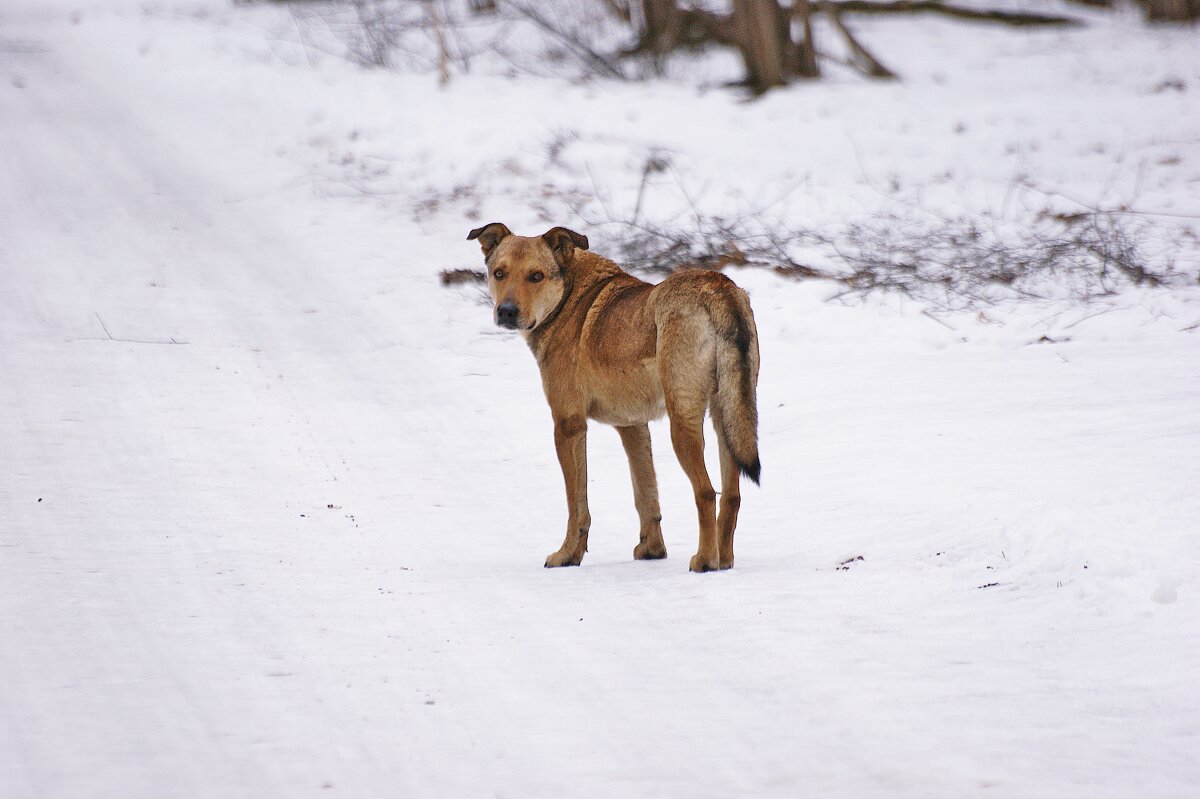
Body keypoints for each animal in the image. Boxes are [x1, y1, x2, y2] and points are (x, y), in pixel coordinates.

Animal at [468, 220, 758, 568]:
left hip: (684, 421)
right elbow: (646, 494)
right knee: (732, 495)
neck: (568, 298)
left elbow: (577, 505)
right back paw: (724, 560)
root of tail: (718, 288)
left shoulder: (568, 425)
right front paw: (651, 550)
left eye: (536, 276)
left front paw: (567, 555)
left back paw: (704, 561)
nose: (507, 312)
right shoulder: (632, 425)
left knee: (705, 492)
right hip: (728, 415)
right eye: (499, 273)